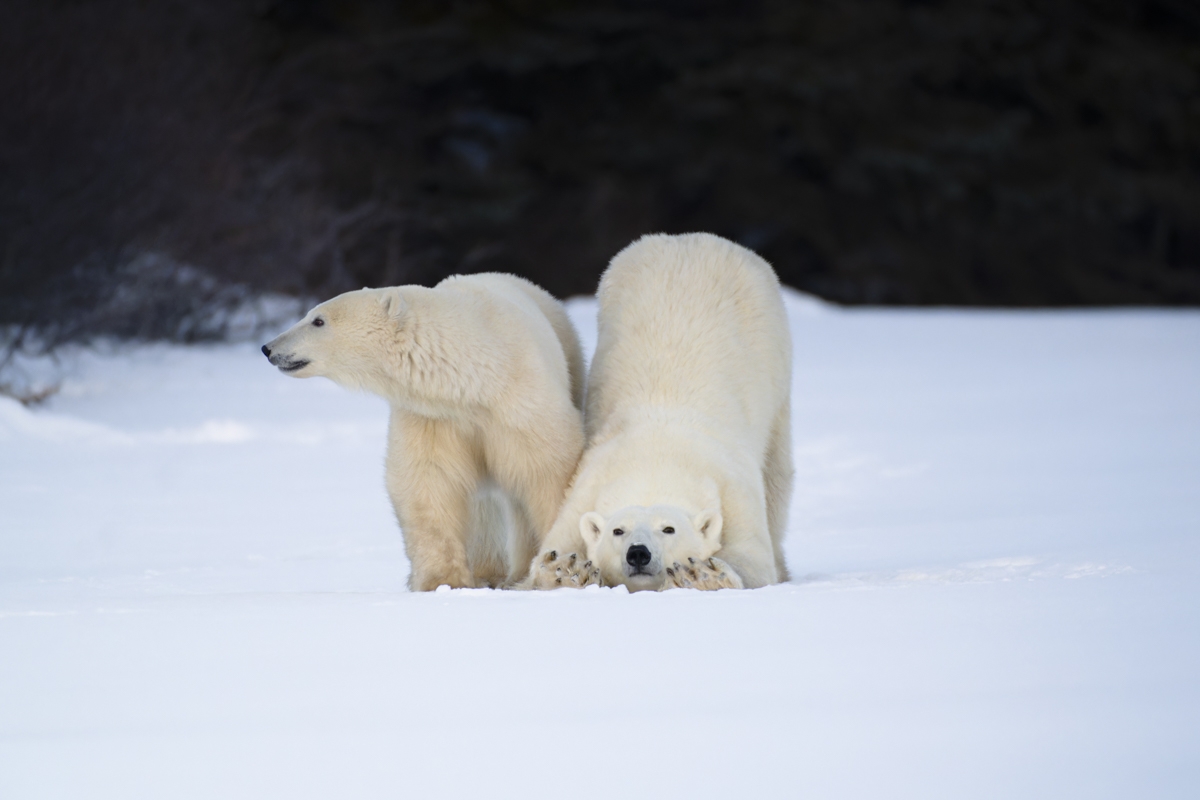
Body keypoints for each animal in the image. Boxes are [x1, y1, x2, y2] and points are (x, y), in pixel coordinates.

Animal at [262, 273, 586, 591]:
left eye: (318, 320)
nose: (268, 348)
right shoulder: (432, 417)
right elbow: (428, 481)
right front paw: (442, 581)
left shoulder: (517, 402)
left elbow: (547, 469)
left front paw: (560, 566)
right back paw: (487, 574)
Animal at [523, 232, 793, 590]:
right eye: (618, 530)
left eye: (669, 528)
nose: (638, 553)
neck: (657, 460)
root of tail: (689, 239)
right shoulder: (584, 488)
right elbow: (558, 545)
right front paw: (566, 569)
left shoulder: (734, 493)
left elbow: (753, 559)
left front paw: (703, 574)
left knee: (777, 480)